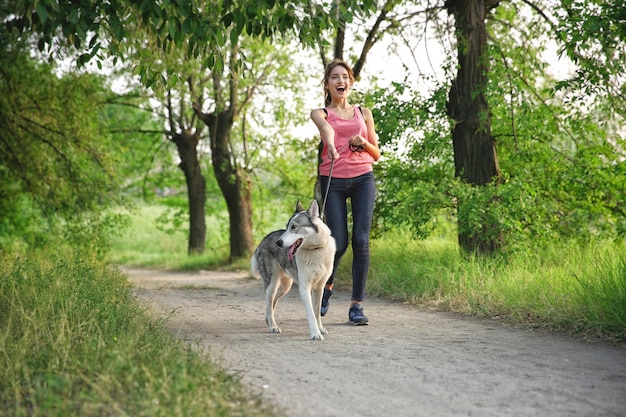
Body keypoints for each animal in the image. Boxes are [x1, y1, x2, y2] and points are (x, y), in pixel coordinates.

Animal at [250, 200, 336, 340]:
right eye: (287, 227)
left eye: (294, 227)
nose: (278, 243)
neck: (315, 249)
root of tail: (263, 239)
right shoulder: (304, 288)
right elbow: (311, 313)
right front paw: (315, 333)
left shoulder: (319, 288)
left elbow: (317, 312)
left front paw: (320, 329)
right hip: (272, 285)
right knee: (269, 302)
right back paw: (273, 326)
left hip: (285, 287)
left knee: (272, 304)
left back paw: (268, 320)